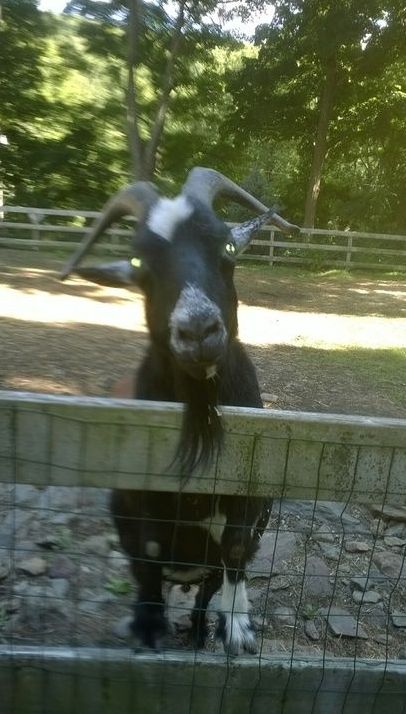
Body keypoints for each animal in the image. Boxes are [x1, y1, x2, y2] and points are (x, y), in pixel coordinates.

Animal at [60, 167, 299, 654]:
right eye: (138, 263)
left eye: (228, 247)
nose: (198, 330)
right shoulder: (142, 495)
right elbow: (149, 554)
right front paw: (148, 627)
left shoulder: (251, 492)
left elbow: (235, 549)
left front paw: (237, 629)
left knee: (210, 584)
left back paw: (202, 631)